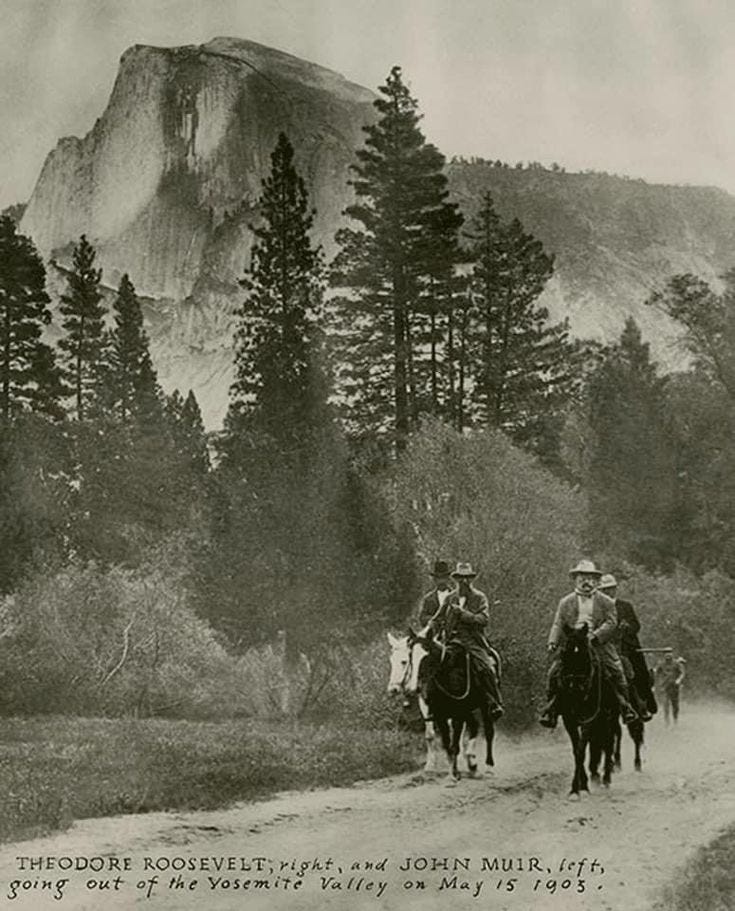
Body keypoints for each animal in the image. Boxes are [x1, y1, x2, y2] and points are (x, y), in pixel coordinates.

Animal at [557, 624, 619, 798]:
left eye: (585, 653)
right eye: (565, 652)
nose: (575, 687)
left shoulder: (589, 718)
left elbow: (581, 750)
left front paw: (579, 787)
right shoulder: (569, 720)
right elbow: (576, 750)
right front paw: (579, 786)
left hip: (610, 718)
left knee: (609, 743)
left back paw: (606, 778)